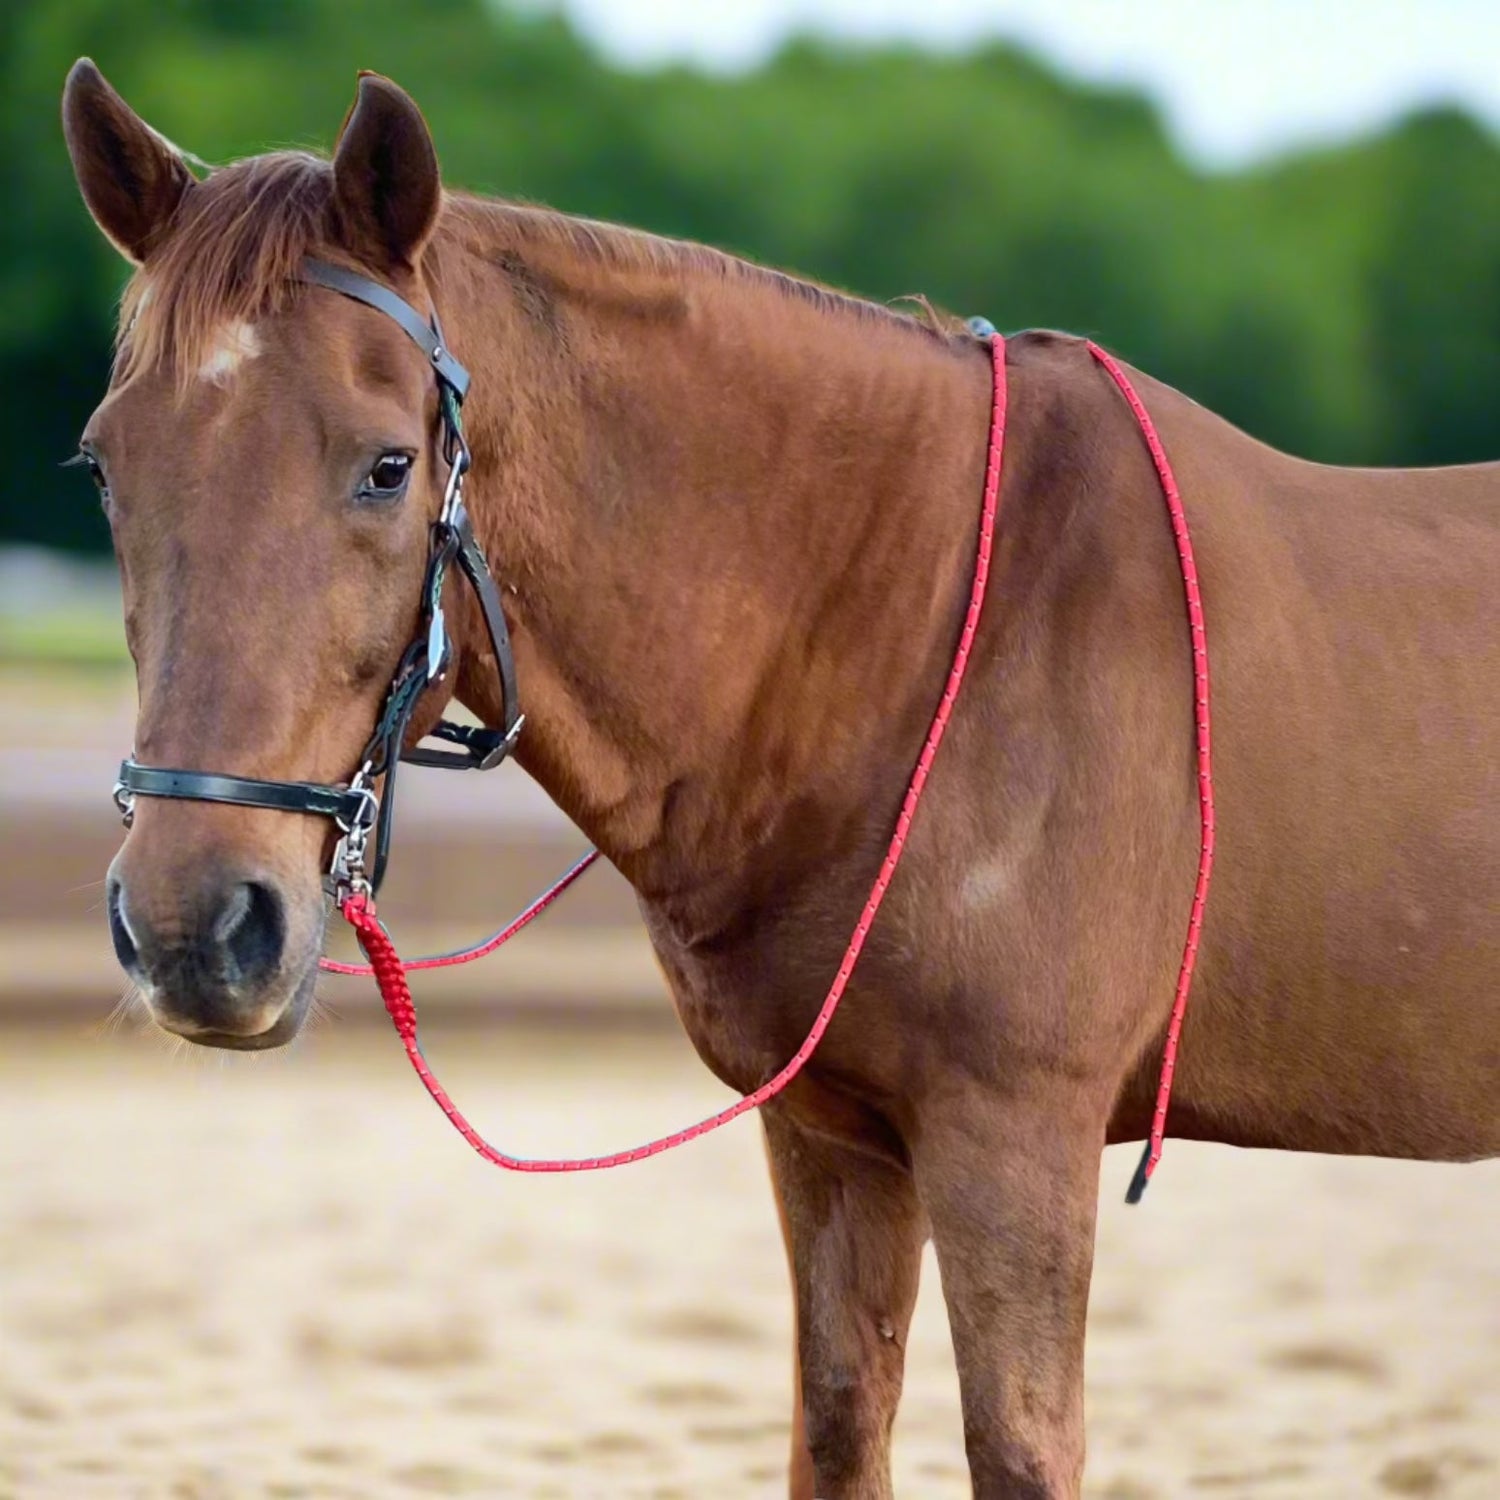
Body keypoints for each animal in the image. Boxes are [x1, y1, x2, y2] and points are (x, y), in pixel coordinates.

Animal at [61, 58, 1500, 1500]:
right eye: (110, 470)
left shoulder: (1014, 1140)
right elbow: (838, 1424)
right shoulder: (833, 1136)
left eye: (387, 465)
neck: (927, 624)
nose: (193, 927)